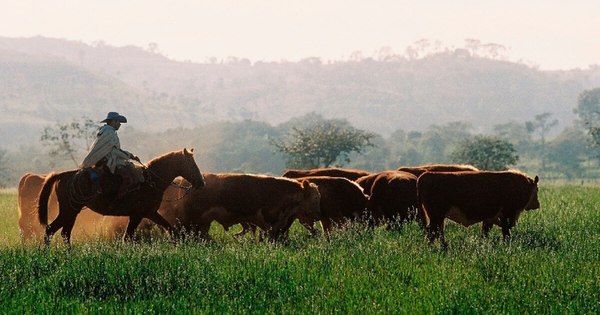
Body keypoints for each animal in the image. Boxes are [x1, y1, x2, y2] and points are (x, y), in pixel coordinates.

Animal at [38, 149, 206, 247]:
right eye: (191, 163)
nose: (201, 182)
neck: (151, 180)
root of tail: (63, 175)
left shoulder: (150, 213)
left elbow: (171, 229)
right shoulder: (137, 215)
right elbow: (128, 237)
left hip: (72, 212)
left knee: (63, 233)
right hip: (69, 211)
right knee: (52, 230)